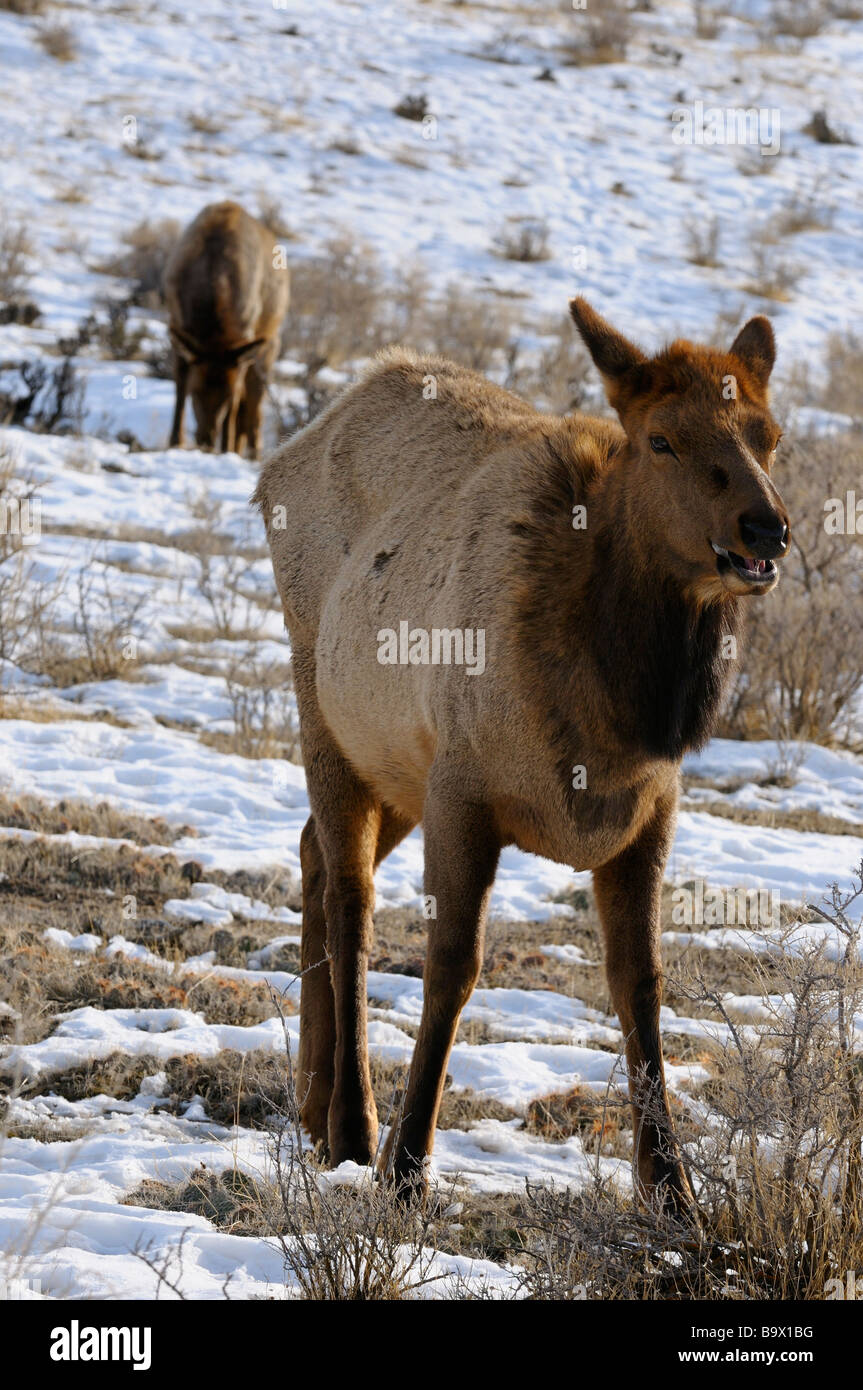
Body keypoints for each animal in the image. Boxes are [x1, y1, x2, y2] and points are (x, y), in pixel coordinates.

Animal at [164, 200, 289, 455]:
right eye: (195, 391)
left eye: (227, 397)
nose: (206, 440)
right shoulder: (176, 324)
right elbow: (179, 384)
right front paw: (175, 441)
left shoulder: (244, 337)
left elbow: (238, 405)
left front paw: (227, 447)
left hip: (270, 344)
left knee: (254, 404)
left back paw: (251, 450)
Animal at [250, 298, 789, 1212]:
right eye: (660, 439)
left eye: (769, 434)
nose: (766, 527)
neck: (612, 721)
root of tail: (277, 459)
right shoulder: (461, 788)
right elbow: (451, 968)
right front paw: (406, 1164)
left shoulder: (650, 812)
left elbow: (640, 984)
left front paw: (670, 1188)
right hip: (324, 707)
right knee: (349, 896)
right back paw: (353, 1124)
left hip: (389, 763)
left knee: (310, 855)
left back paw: (314, 1107)